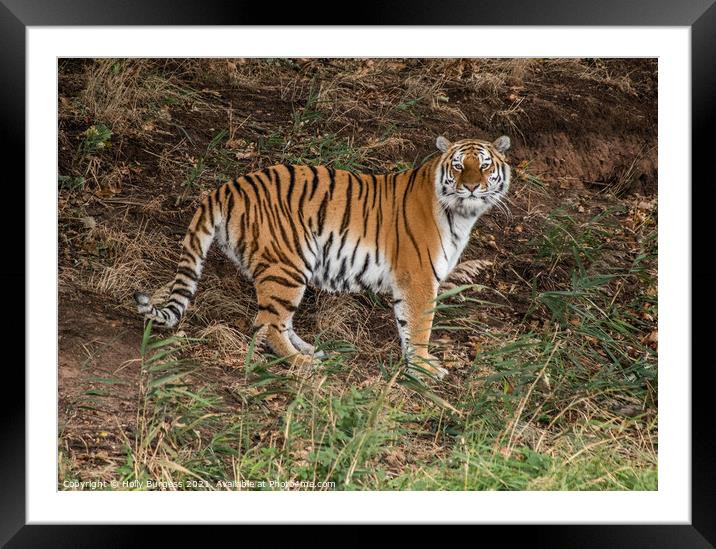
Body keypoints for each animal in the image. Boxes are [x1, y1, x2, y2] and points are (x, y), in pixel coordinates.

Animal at [134, 135, 512, 378]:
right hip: (289, 264)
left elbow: (408, 325)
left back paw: (308, 350)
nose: (472, 187)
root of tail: (226, 187)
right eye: (460, 166)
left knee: (278, 320)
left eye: (484, 166)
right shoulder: (418, 278)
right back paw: (301, 364)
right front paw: (423, 367)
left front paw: (414, 363)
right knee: (266, 324)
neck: (462, 214)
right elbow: (421, 325)